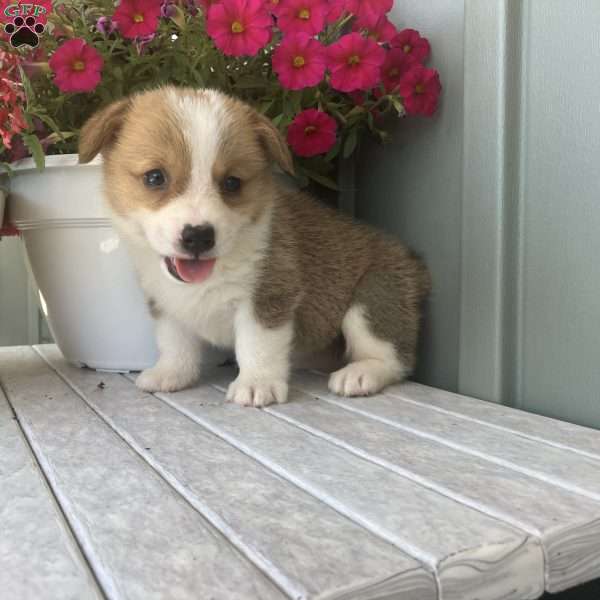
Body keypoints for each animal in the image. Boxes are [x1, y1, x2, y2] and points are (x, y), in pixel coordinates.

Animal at [78, 86, 432, 406]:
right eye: (155, 177)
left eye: (232, 183)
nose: (198, 236)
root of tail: (413, 261)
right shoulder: (167, 304)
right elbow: (175, 343)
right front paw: (171, 374)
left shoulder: (268, 297)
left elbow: (257, 345)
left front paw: (256, 384)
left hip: (373, 299)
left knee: (393, 356)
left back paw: (360, 374)